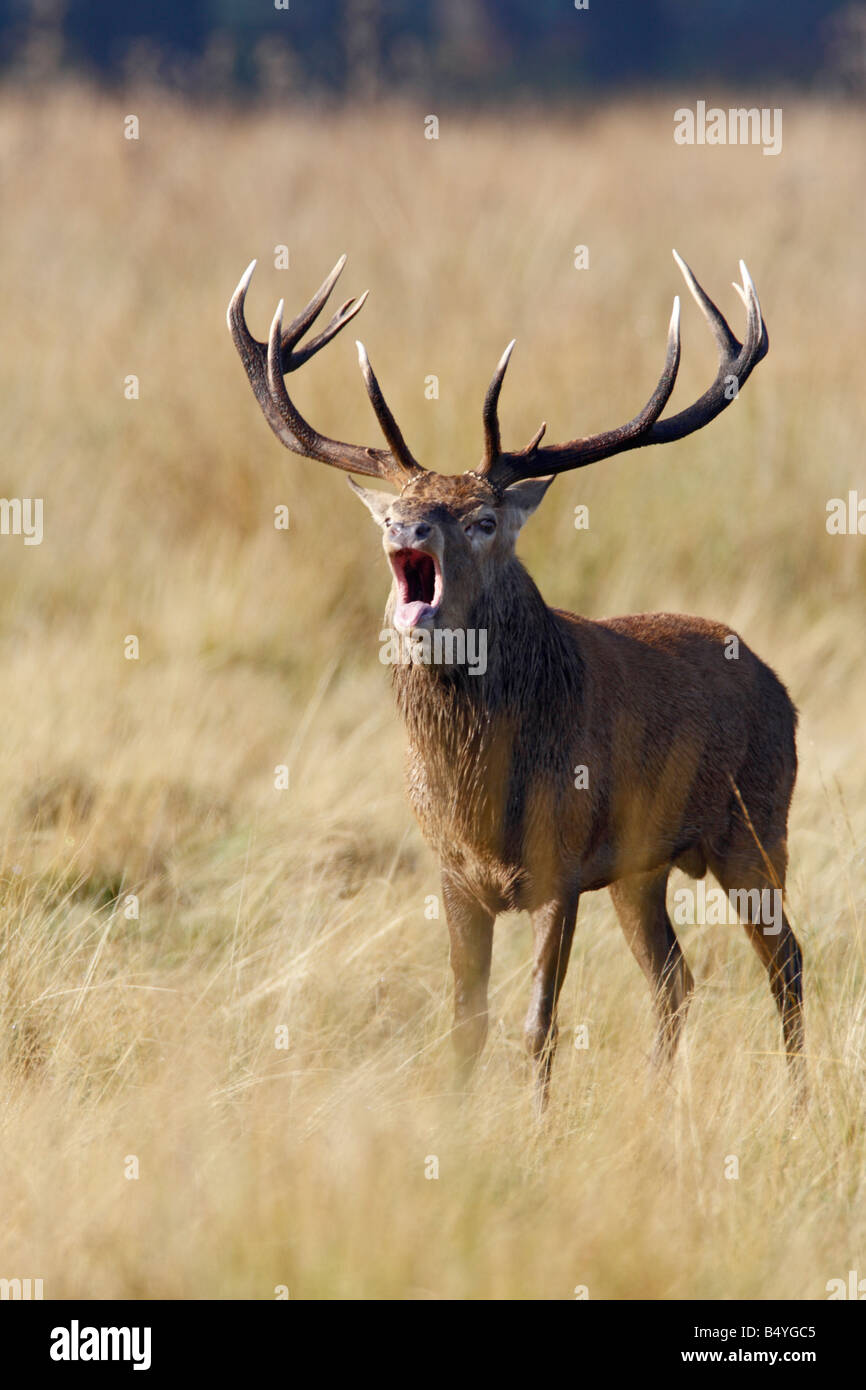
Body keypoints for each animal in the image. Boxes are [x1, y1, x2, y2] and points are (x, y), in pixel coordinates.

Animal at [227, 251, 803, 1111]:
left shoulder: (558, 867)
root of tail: (782, 689)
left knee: (786, 964)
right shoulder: (453, 874)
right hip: (644, 867)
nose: (407, 528)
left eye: (483, 520)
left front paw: (537, 1124)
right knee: (674, 977)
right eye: (394, 511)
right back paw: (657, 1100)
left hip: (757, 826)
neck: (480, 799)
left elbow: (539, 1025)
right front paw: (455, 1122)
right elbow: (466, 1022)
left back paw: (800, 1102)